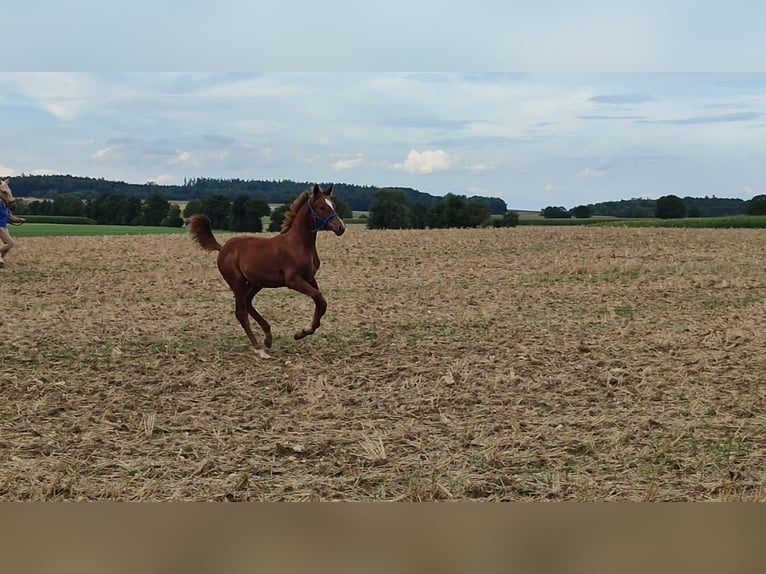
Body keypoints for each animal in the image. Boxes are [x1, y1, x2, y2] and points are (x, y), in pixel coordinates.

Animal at [190, 183, 346, 360]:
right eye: (322, 207)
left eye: (334, 205)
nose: (340, 227)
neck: (298, 244)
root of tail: (223, 248)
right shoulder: (293, 281)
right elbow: (319, 298)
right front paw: (302, 332)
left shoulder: (310, 278)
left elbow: (322, 303)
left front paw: (301, 332)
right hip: (236, 281)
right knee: (241, 312)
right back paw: (259, 349)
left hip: (256, 282)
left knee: (248, 302)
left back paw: (268, 337)